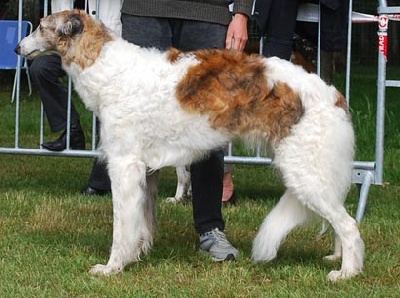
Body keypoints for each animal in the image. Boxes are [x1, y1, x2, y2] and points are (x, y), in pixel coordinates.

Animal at [16, 9, 366, 280]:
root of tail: (333, 94)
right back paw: (337, 258)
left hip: (304, 172)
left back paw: (346, 272)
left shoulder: (124, 164)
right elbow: (142, 222)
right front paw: (137, 254)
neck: (108, 69)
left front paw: (113, 267)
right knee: (341, 219)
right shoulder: (147, 169)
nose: (18, 47)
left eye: (41, 26)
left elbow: (121, 226)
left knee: (349, 224)